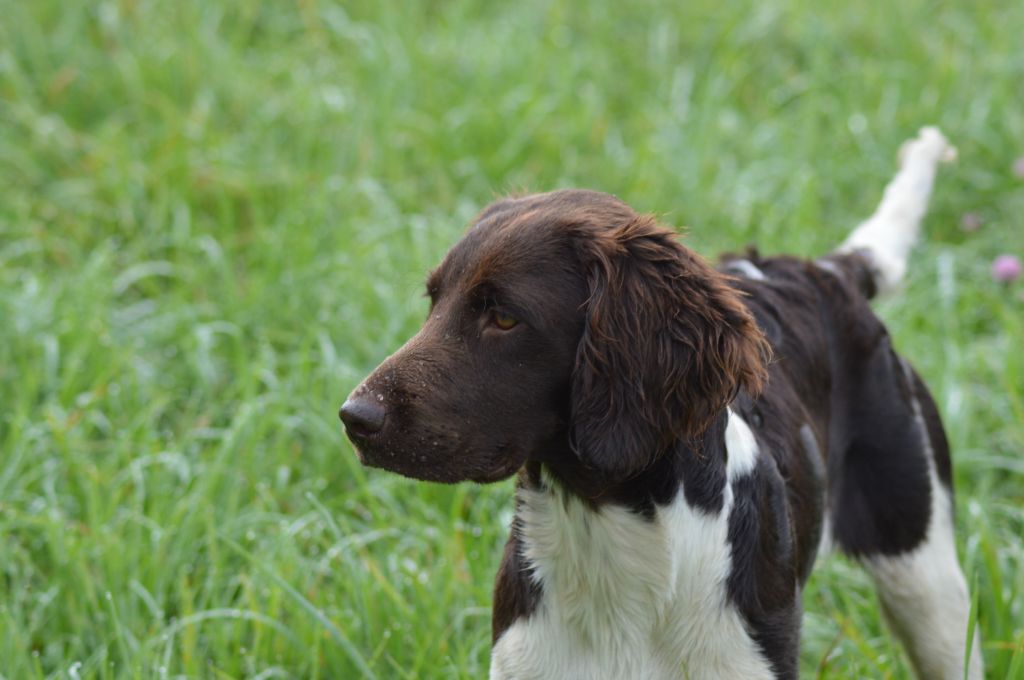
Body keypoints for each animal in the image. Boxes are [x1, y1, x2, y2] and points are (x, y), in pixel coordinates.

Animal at [339, 129, 978, 680]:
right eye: (434, 302)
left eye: (503, 317)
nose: (353, 419)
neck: (605, 535)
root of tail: (822, 270)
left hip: (925, 578)